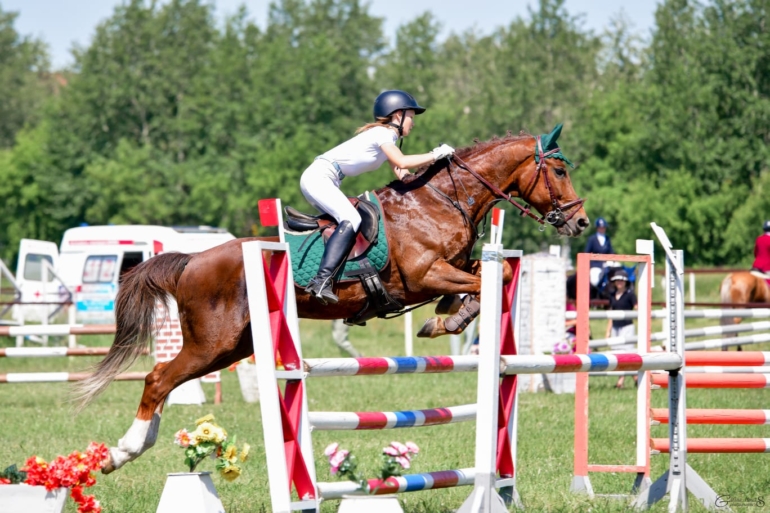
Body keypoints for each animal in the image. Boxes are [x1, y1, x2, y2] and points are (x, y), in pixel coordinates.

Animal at [75, 125, 588, 472]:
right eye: (559, 170)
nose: (580, 223)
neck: (441, 201)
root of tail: (193, 261)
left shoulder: (451, 270)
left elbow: (487, 276)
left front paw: (447, 318)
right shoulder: (426, 275)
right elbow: (485, 283)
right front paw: (447, 319)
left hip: (230, 347)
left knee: (165, 380)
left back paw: (133, 448)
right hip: (210, 342)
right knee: (158, 378)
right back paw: (124, 451)